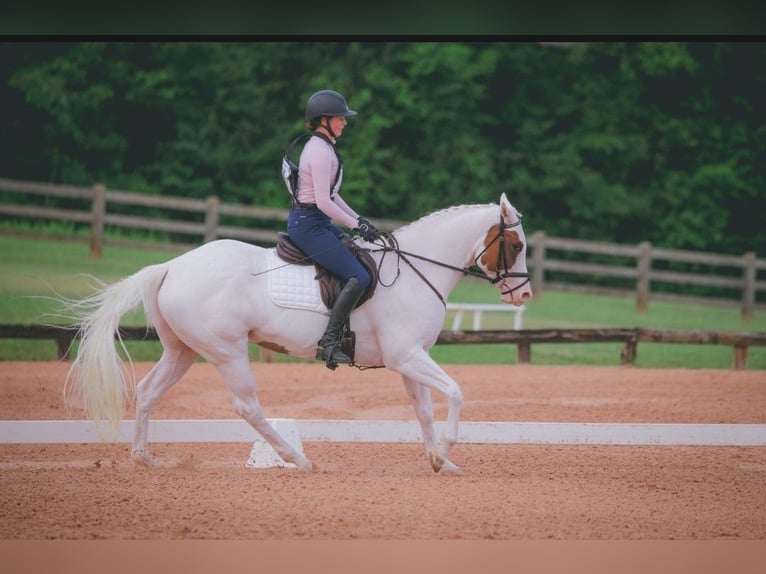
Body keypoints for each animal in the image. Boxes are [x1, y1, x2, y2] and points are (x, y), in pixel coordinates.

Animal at [63, 192, 532, 473]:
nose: (524, 293)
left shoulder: (408, 360)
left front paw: (438, 460)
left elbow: (425, 411)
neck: (418, 269)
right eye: (517, 245)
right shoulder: (408, 357)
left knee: (147, 392)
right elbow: (455, 393)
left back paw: (144, 459)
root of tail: (172, 266)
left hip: (182, 350)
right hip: (227, 350)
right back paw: (296, 458)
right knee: (247, 406)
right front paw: (446, 451)